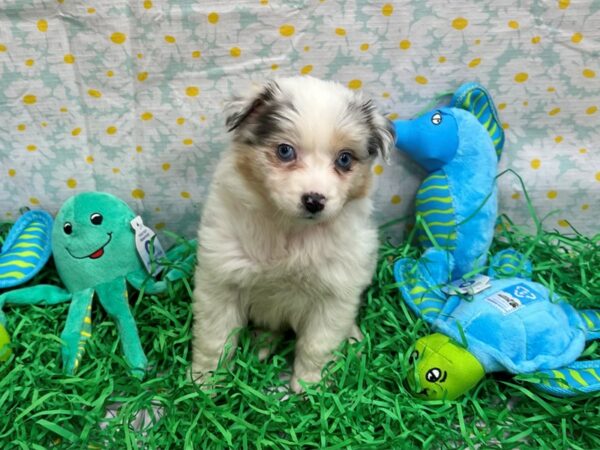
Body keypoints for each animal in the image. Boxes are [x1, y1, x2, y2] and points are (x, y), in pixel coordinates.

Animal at [192, 75, 396, 392]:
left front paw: (309, 388)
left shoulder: (334, 295)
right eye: (285, 151)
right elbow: (215, 339)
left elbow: (317, 346)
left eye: (345, 159)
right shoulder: (220, 281)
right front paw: (204, 384)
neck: (290, 232)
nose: (314, 200)